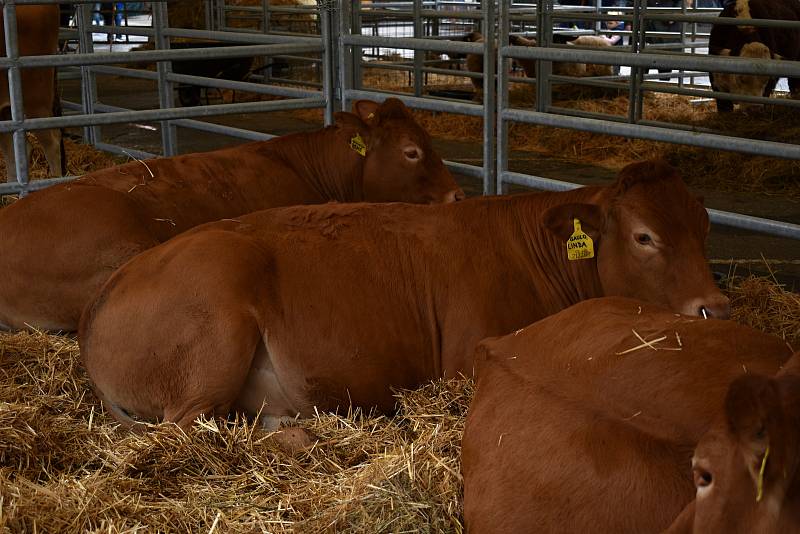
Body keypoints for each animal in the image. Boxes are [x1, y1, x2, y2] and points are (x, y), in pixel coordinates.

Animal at [78, 159, 728, 432]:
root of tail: (105, 294)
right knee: (187, 429)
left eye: (704, 223)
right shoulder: (465, 362)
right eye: (644, 236)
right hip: (213, 336)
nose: (716, 309)